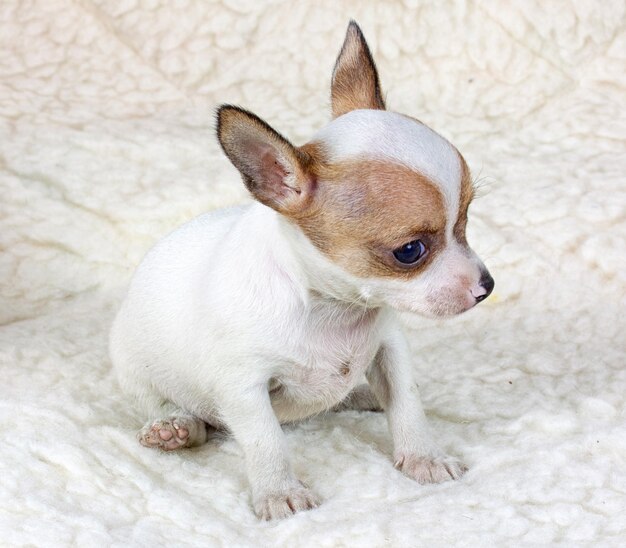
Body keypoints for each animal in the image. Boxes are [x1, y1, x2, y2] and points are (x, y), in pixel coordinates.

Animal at [109, 20, 494, 520]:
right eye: (410, 251)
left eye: (465, 222)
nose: (486, 286)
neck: (333, 310)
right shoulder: (244, 387)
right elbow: (265, 441)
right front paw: (279, 492)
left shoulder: (390, 350)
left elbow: (408, 404)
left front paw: (423, 457)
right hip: (137, 371)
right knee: (173, 409)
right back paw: (174, 427)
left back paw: (361, 394)